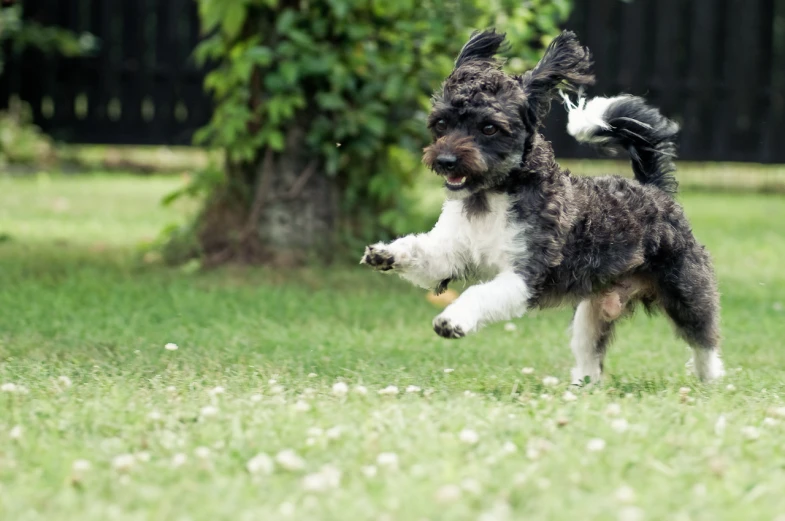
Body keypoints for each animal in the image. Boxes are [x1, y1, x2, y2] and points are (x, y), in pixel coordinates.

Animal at [362, 30, 724, 384]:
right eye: (441, 123)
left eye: (489, 127)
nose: (445, 160)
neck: (492, 197)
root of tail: (654, 190)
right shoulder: (453, 252)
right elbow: (422, 253)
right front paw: (386, 253)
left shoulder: (525, 274)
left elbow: (479, 294)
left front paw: (453, 320)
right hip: (592, 312)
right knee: (591, 356)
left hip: (686, 291)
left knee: (704, 339)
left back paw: (710, 379)